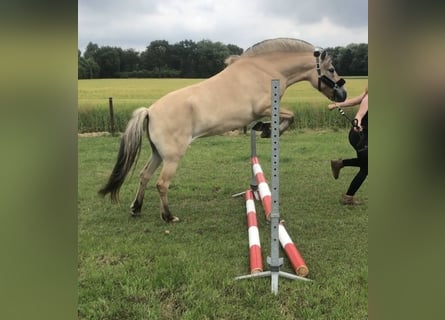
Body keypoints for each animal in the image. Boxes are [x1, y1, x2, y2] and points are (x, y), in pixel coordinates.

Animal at [98, 38, 346, 222]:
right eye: (332, 69)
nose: (342, 95)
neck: (264, 69)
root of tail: (150, 111)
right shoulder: (265, 107)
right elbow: (290, 116)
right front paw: (267, 130)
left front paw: (264, 128)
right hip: (172, 157)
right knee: (161, 183)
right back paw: (168, 217)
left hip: (158, 154)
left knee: (144, 176)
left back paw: (136, 209)